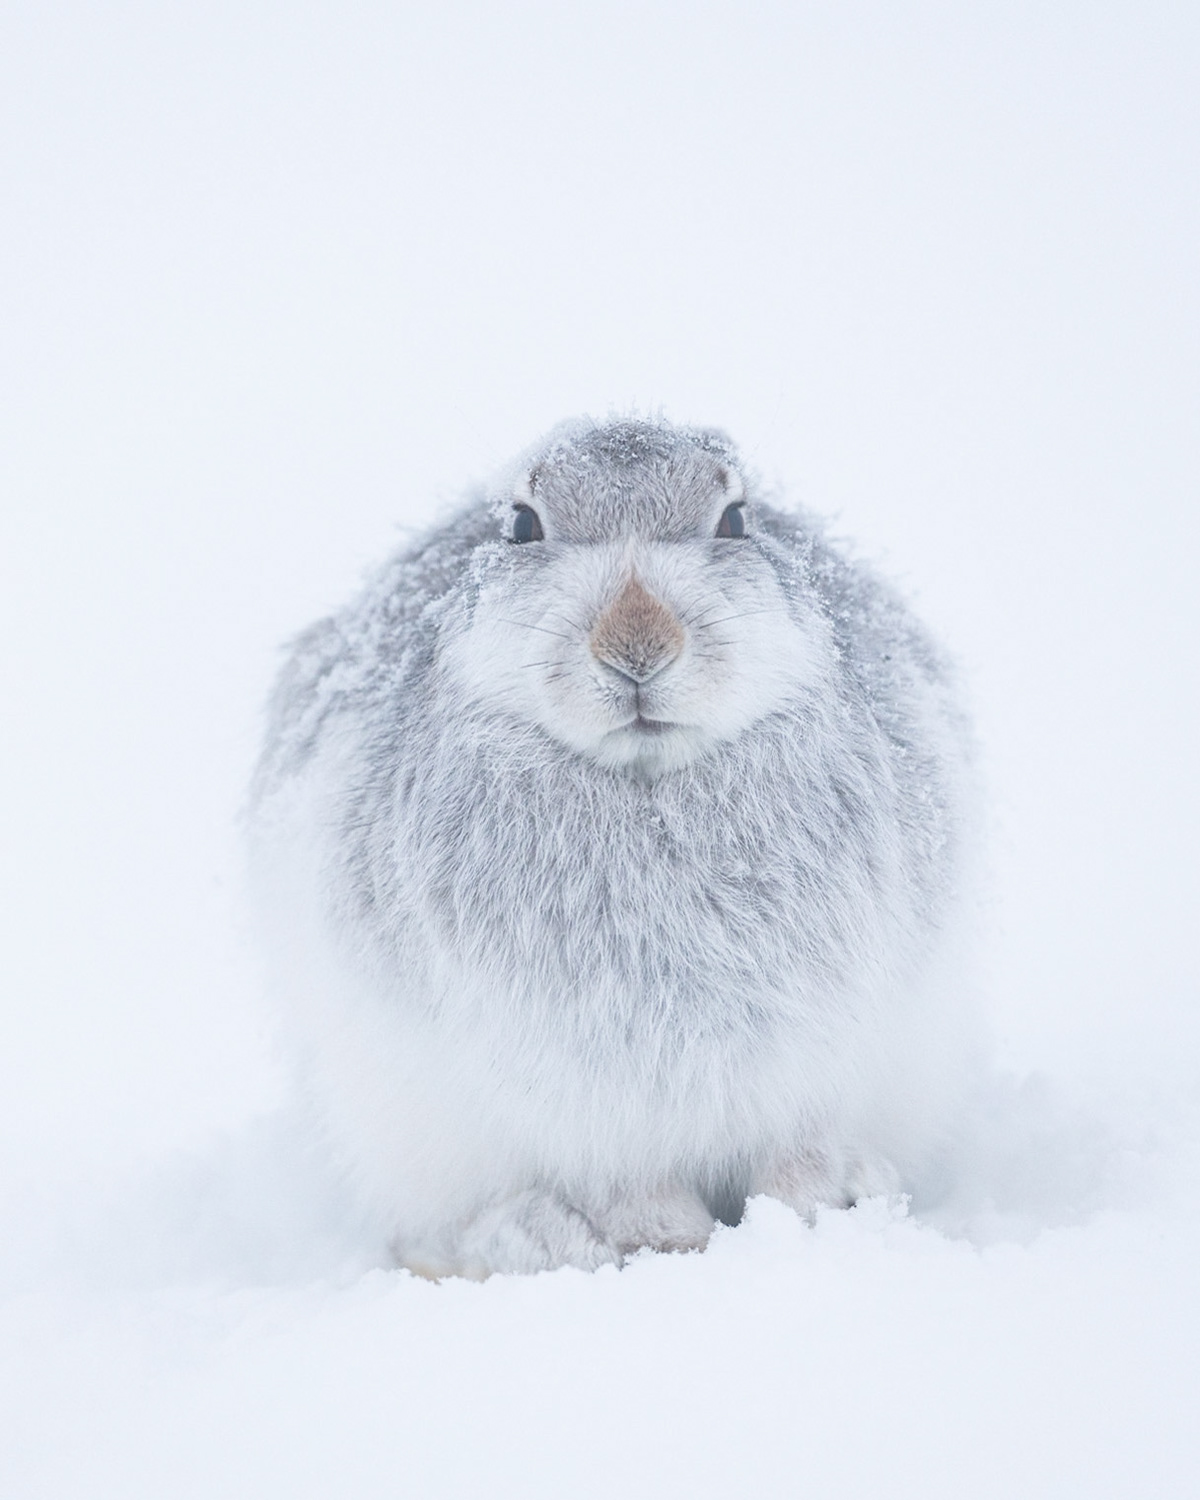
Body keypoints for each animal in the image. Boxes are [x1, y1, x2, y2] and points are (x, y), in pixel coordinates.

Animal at [250, 416, 977, 1279]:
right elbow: (630, 1188)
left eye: (736, 519)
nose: (638, 643)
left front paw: (809, 1216)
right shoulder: (584, 1104)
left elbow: (800, 1153)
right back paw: (536, 1238)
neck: (645, 785)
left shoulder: (815, 1063)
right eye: (522, 526)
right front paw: (671, 1246)